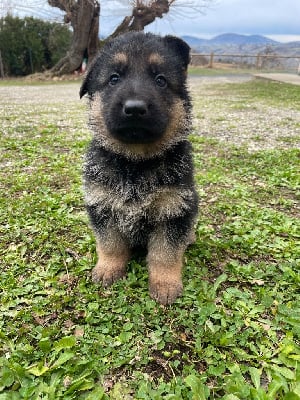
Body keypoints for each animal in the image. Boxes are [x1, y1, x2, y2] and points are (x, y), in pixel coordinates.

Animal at [79, 32, 198, 306]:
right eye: (114, 78)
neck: (134, 163)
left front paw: (165, 284)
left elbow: (165, 253)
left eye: (160, 80)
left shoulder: (174, 209)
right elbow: (110, 244)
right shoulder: (102, 204)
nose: (134, 108)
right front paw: (108, 269)